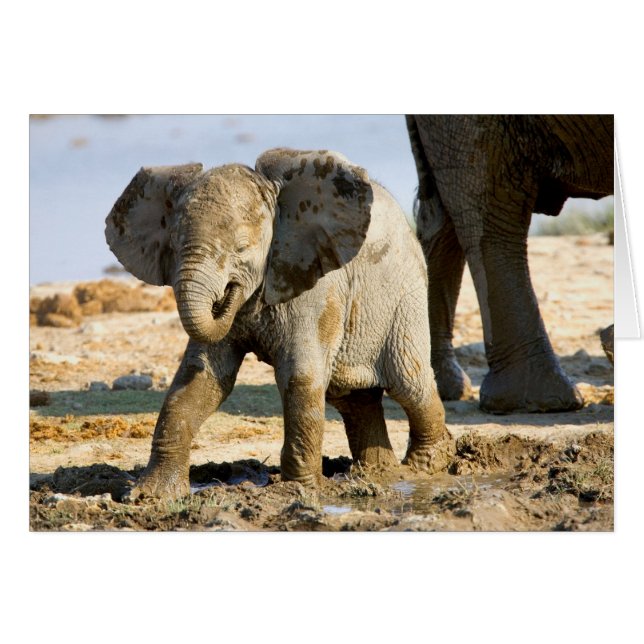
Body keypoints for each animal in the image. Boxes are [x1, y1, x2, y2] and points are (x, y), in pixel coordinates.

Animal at [105, 148, 454, 500]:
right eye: (174, 247)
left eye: (242, 249)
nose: (228, 294)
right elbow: (200, 377)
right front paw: (149, 495)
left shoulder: (315, 284)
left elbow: (299, 375)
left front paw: (296, 491)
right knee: (353, 398)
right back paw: (378, 473)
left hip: (405, 296)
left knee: (408, 382)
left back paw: (425, 465)